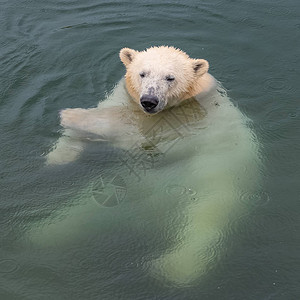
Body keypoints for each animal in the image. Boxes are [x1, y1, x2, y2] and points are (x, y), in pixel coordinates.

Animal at [39, 47, 260, 286]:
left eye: (170, 77)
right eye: (143, 73)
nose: (149, 101)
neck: (190, 99)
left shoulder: (187, 124)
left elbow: (136, 134)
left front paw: (72, 115)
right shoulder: (125, 96)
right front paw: (58, 156)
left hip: (217, 181)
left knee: (205, 220)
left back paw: (172, 266)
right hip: (118, 191)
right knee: (83, 214)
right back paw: (42, 233)